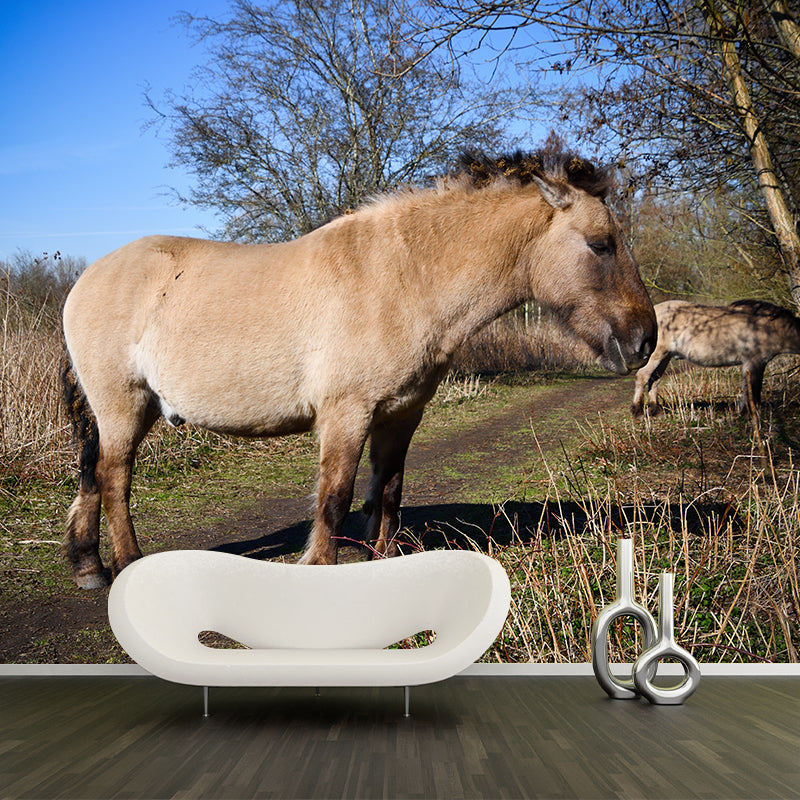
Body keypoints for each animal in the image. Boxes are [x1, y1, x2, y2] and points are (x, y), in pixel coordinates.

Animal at [61, 149, 656, 588]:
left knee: (93, 474)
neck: (404, 277)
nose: (644, 340)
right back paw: (127, 566)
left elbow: (387, 493)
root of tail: (85, 280)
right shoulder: (346, 414)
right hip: (123, 405)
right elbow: (334, 500)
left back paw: (89, 566)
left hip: (124, 409)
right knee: (114, 479)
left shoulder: (401, 413)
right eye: (601, 244)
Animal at [631, 299, 800, 417]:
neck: (768, 327)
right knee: (642, 377)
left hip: (665, 357)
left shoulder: (752, 364)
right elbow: (753, 388)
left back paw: (656, 411)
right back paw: (637, 412)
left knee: (654, 380)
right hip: (656, 355)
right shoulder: (754, 362)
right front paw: (750, 414)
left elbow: (748, 388)